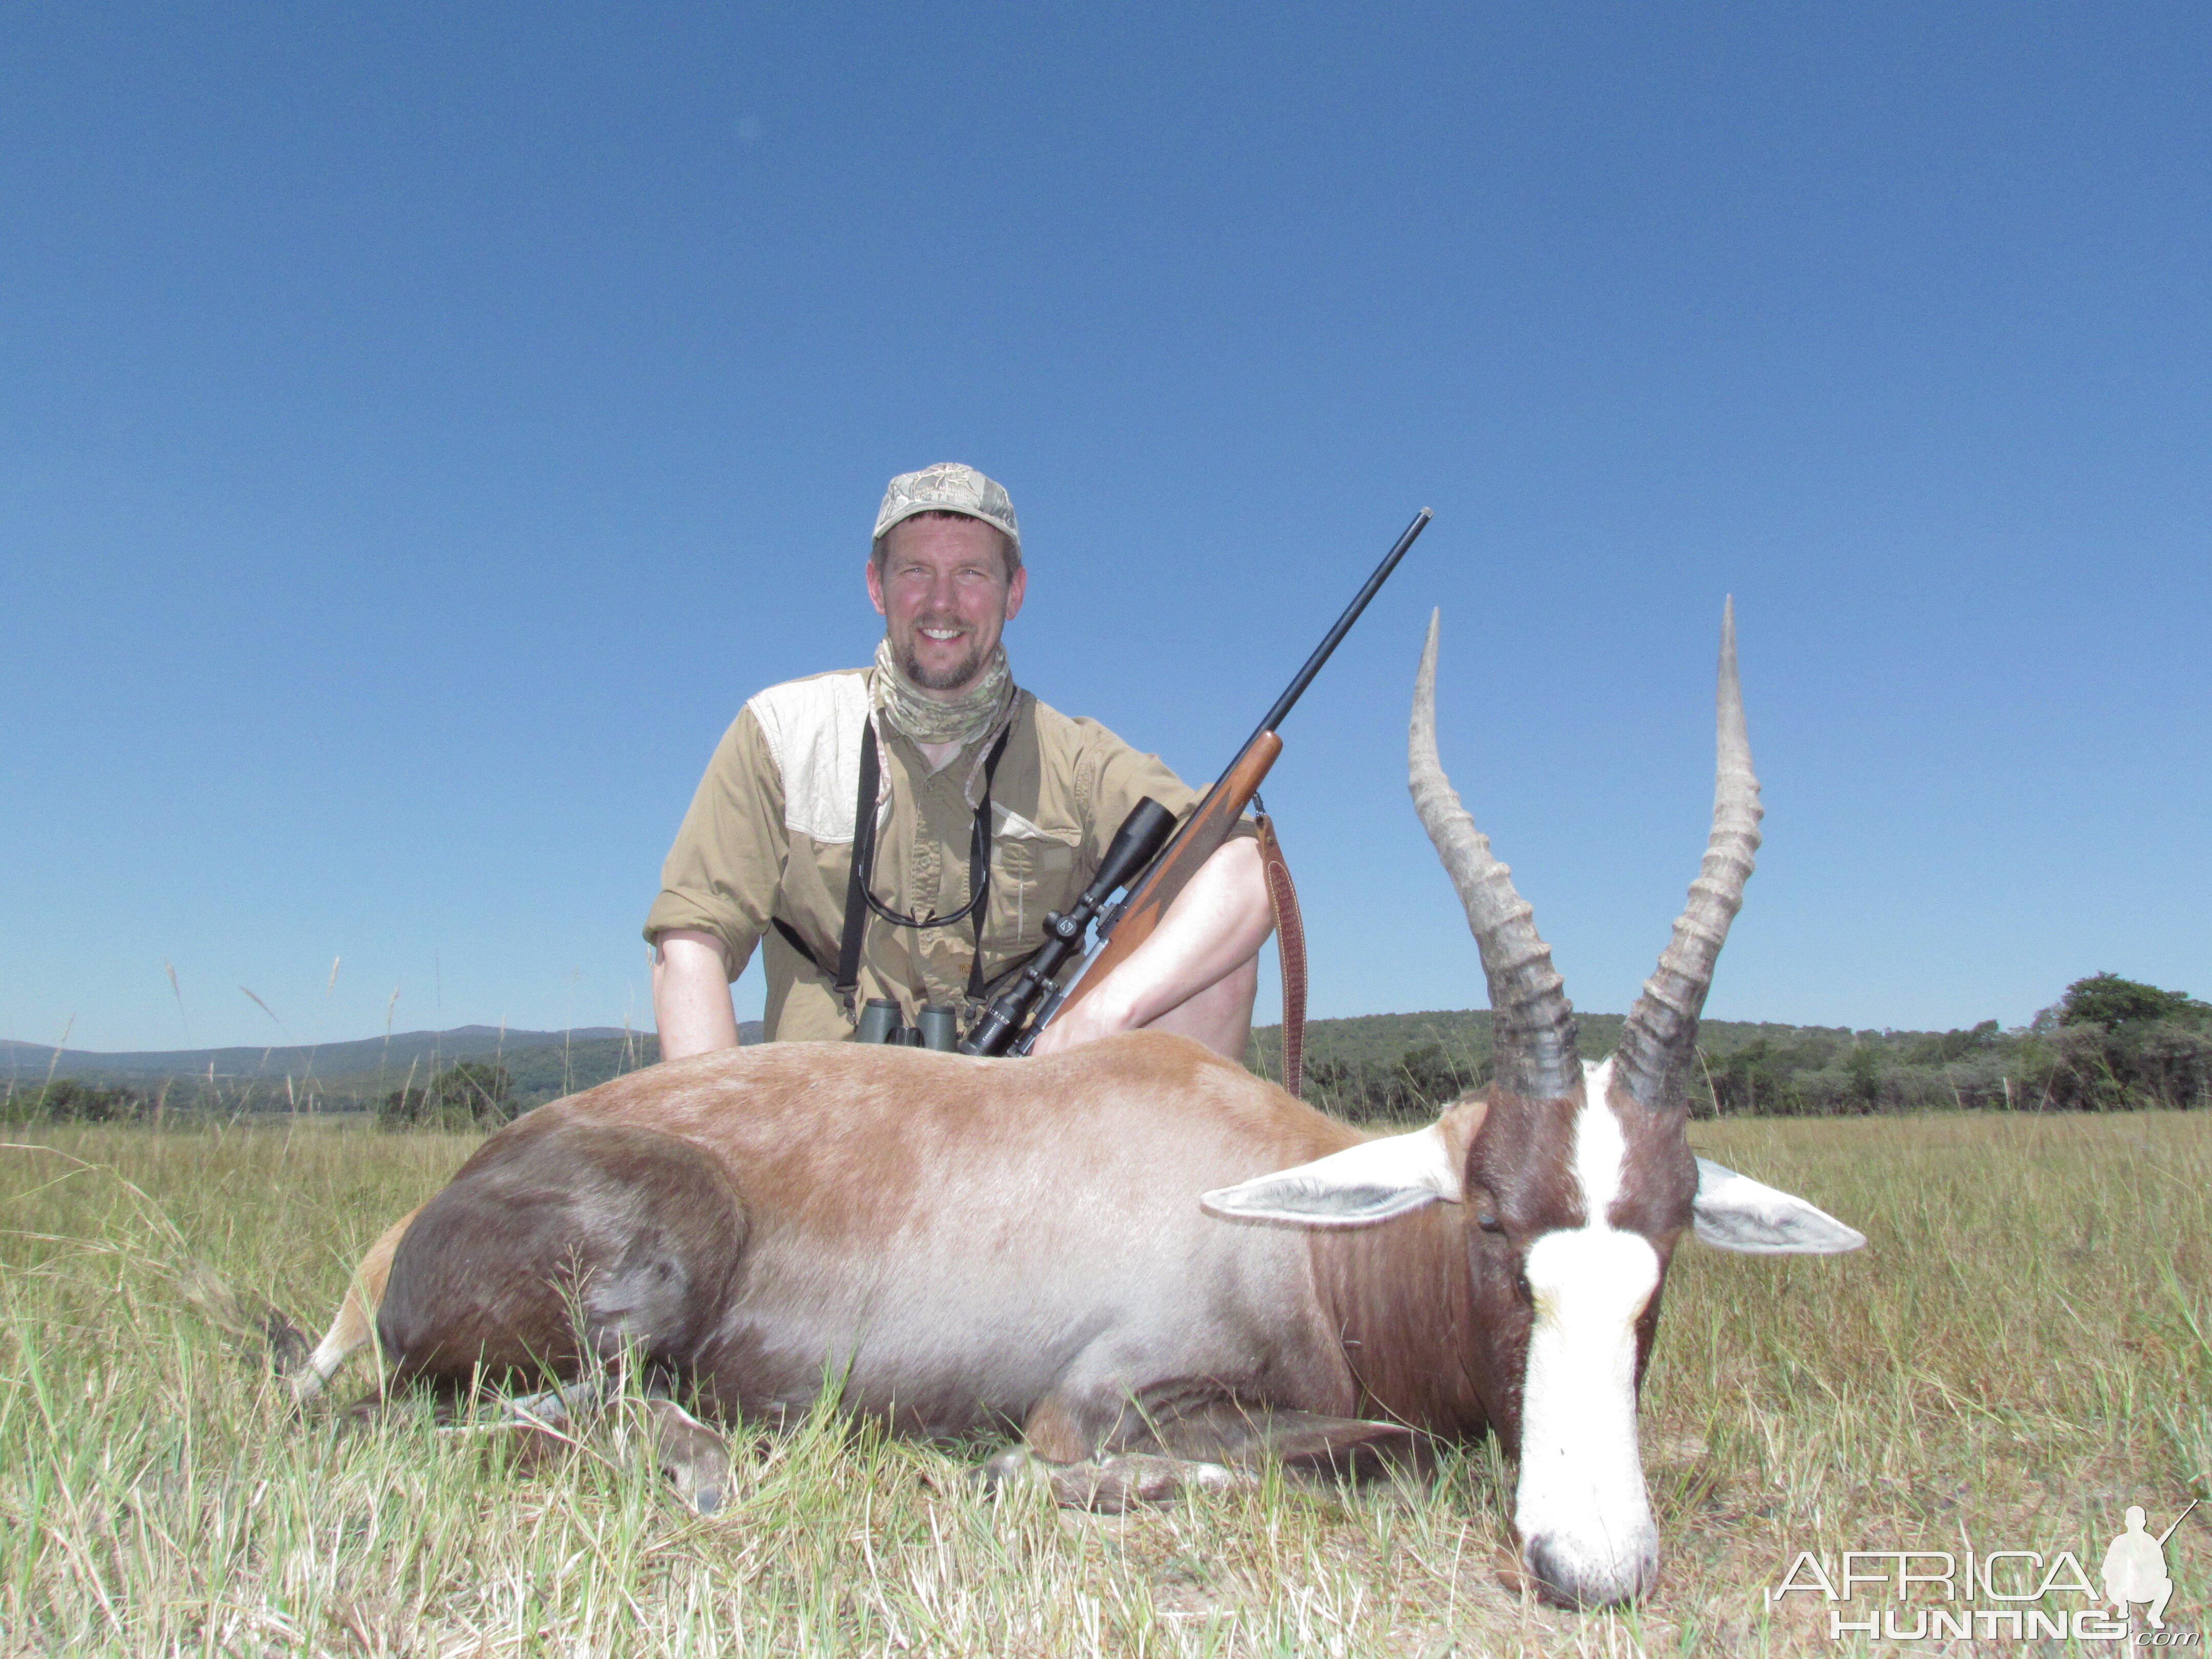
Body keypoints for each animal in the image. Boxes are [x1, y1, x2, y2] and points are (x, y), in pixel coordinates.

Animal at [285, 610, 1858, 1610]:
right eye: (1489, 1218)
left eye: (1671, 1232)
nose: (1593, 1564)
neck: (1303, 1237)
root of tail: (408, 1230)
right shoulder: (1101, 1399)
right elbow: (1326, 1449)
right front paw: (1016, 1484)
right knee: (471, 1420)